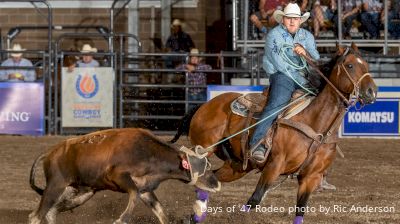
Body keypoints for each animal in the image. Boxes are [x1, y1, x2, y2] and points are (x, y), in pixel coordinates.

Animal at [172, 43, 378, 222]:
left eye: (366, 65)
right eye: (350, 65)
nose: (371, 92)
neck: (316, 126)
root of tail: (204, 106)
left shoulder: (310, 178)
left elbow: (300, 210)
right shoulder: (274, 165)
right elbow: (255, 200)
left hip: (237, 166)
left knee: (210, 179)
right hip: (204, 150)